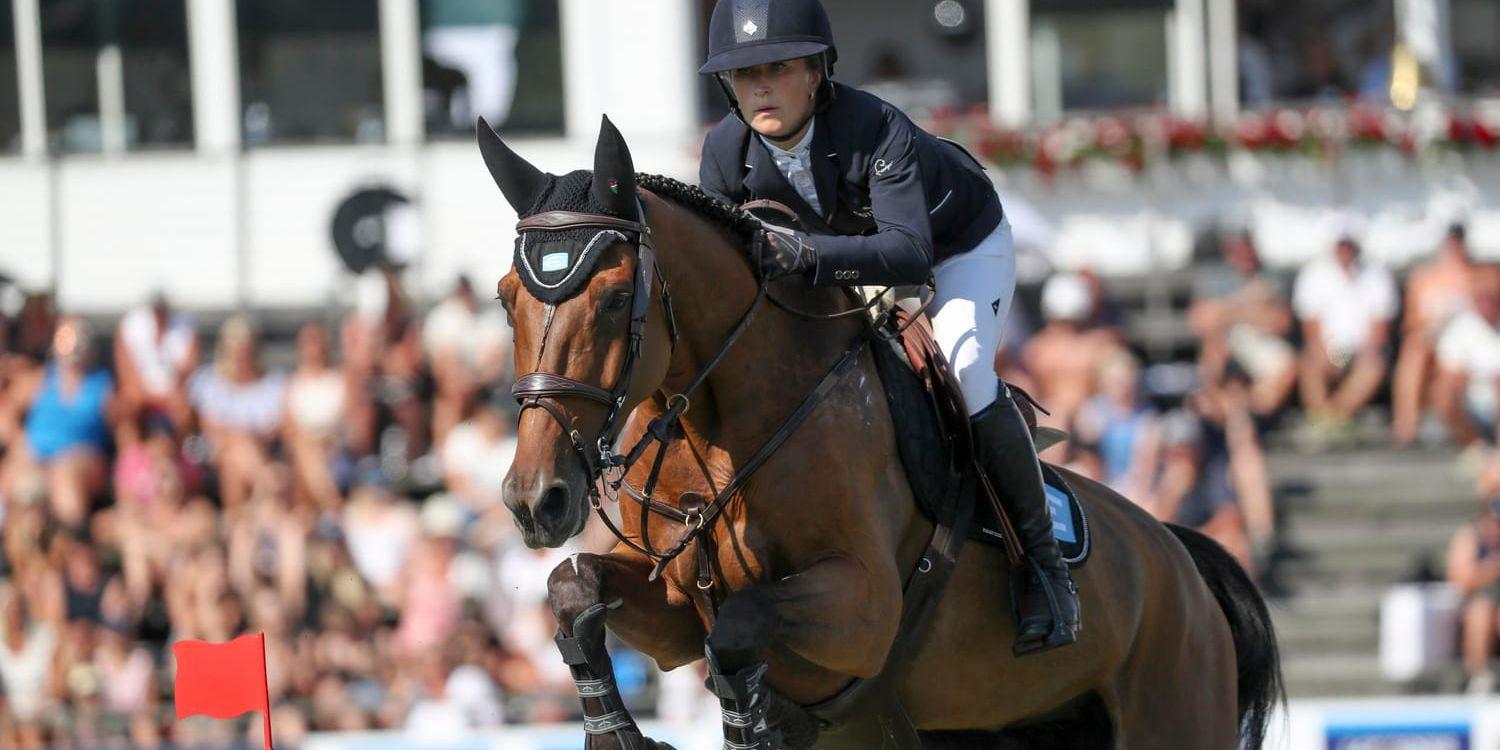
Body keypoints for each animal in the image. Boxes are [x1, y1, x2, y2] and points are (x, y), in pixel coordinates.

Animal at [480, 114, 1278, 747]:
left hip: (1175, 708)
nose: (537, 500)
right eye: (505, 297)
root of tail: (1178, 557)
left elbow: (740, 625)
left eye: (617, 299)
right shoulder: (675, 609)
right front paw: (617, 735)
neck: (718, 432)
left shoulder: (863, 610)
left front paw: (758, 723)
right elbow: (574, 585)